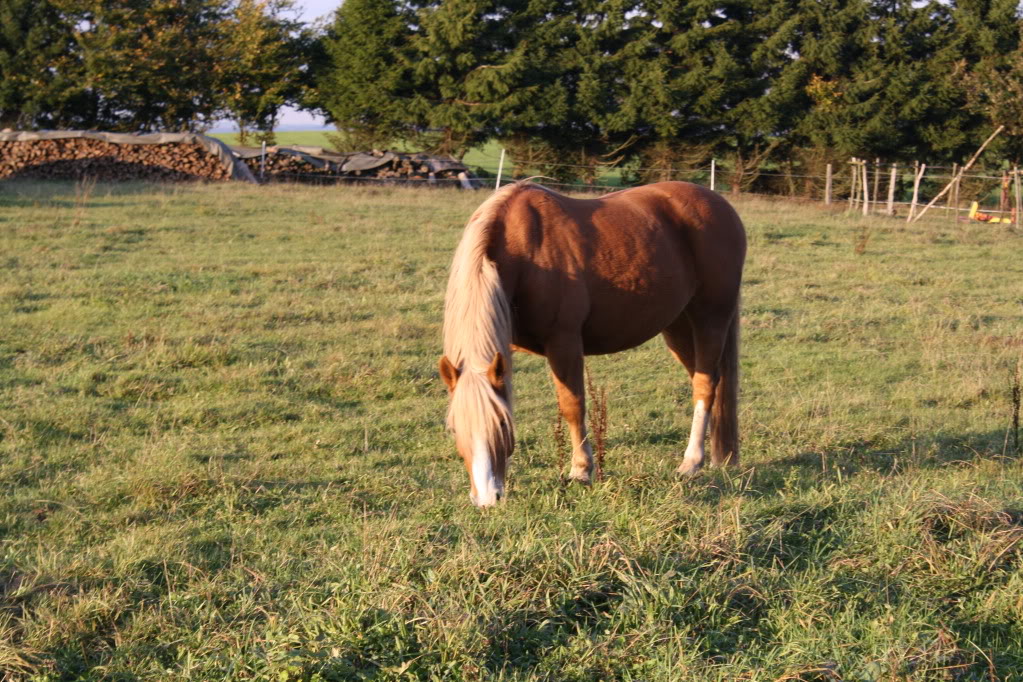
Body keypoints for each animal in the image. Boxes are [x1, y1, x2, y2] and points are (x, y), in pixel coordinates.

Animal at [437, 180, 744, 507]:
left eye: (503, 424)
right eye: (454, 428)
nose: (487, 498)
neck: (523, 250)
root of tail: (719, 204)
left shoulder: (564, 342)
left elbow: (572, 405)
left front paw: (581, 471)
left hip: (711, 318)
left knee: (706, 385)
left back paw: (692, 462)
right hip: (677, 326)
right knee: (707, 380)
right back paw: (720, 456)